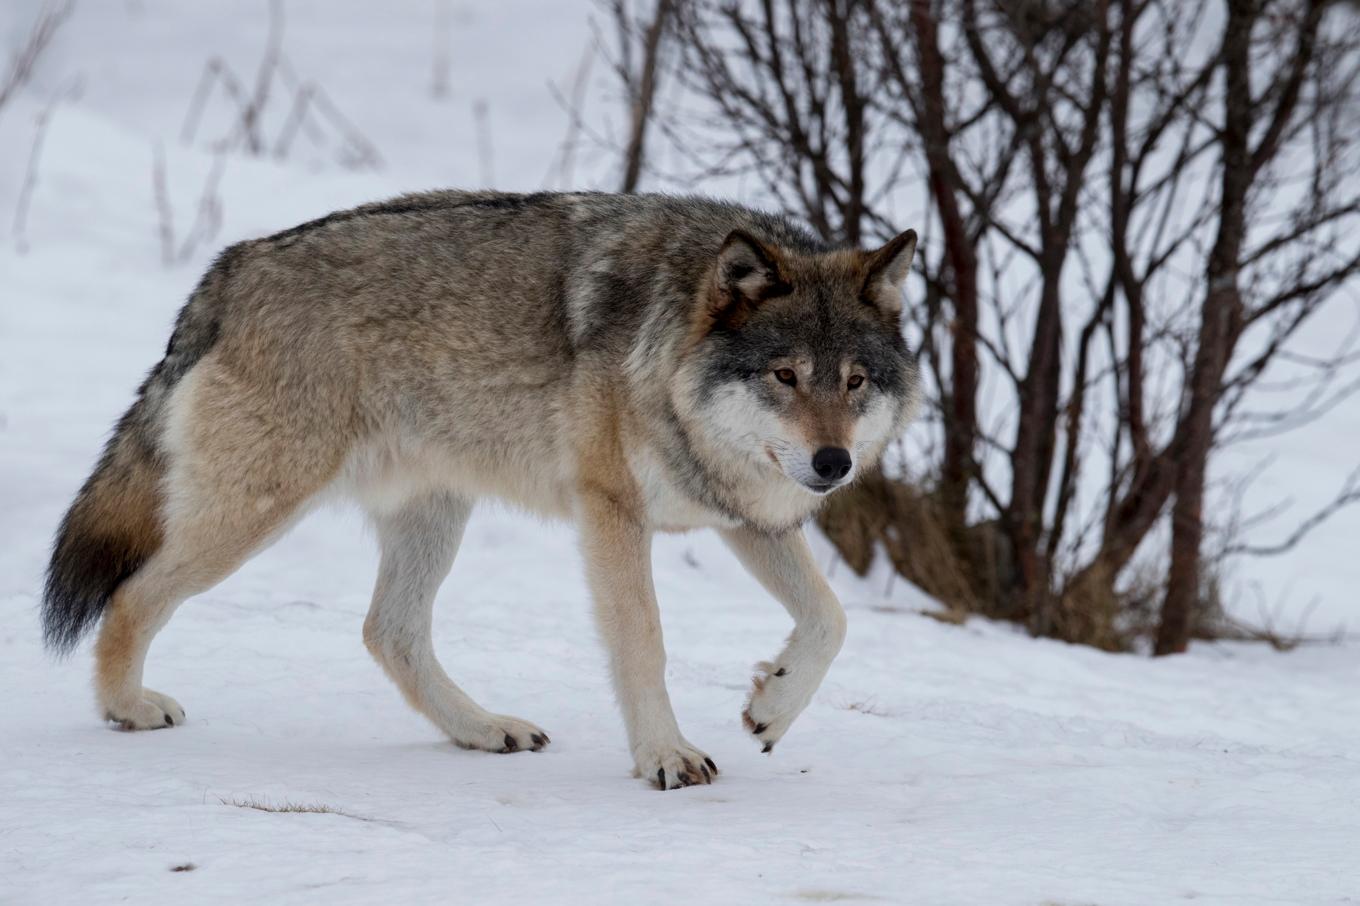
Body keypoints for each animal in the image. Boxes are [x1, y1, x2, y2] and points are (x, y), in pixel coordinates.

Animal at [37, 189, 919, 783]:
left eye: (854, 381)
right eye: (784, 375)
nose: (833, 465)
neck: (666, 353)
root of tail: (232, 266)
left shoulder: (748, 519)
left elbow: (831, 620)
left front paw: (773, 704)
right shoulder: (613, 514)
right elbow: (645, 643)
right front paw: (665, 756)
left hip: (432, 515)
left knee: (387, 632)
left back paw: (482, 728)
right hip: (256, 513)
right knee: (133, 596)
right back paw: (126, 709)